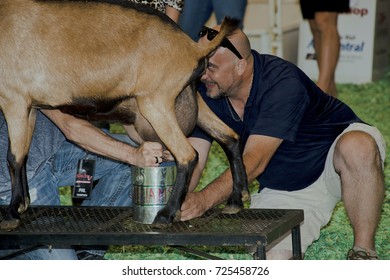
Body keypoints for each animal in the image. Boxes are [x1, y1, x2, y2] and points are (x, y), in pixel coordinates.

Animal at [0, 0, 248, 230]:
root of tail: (193, 48)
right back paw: (237, 200)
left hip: (156, 102)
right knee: (230, 137)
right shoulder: (31, 106)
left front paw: (12, 212)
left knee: (187, 155)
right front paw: (23, 204)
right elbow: (24, 154)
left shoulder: (14, 100)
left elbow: (13, 157)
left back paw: (165, 215)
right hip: (192, 98)